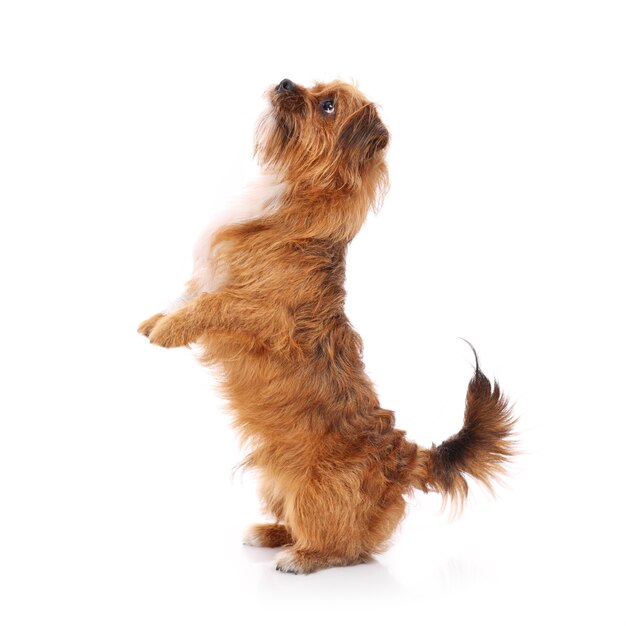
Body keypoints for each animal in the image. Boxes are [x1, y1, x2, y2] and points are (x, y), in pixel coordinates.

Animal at [139, 79, 516, 576]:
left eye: (328, 105)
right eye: (315, 90)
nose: (283, 82)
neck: (290, 197)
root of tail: (403, 456)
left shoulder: (260, 313)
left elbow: (213, 304)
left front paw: (169, 332)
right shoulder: (210, 275)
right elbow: (188, 295)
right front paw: (156, 320)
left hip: (319, 490)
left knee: (344, 545)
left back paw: (302, 557)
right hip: (275, 482)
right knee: (305, 524)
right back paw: (271, 533)